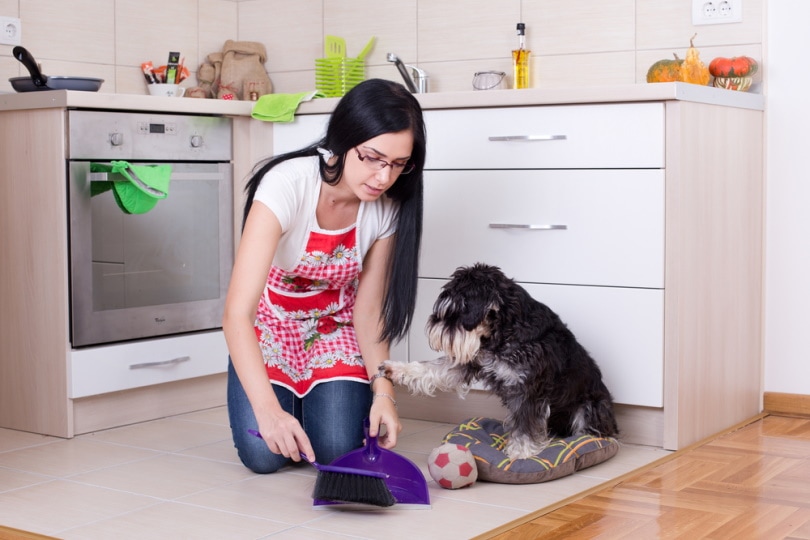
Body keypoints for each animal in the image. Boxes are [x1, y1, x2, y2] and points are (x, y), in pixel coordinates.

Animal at [382, 264, 616, 458]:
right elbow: (430, 369)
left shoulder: (528, 391)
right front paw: (394, 368)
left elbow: (524, 428)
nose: (431, 330)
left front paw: (519, 455)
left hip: (590, 407)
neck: (503, 332)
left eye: (456, 312)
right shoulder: (468, 363)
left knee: (591, 430)